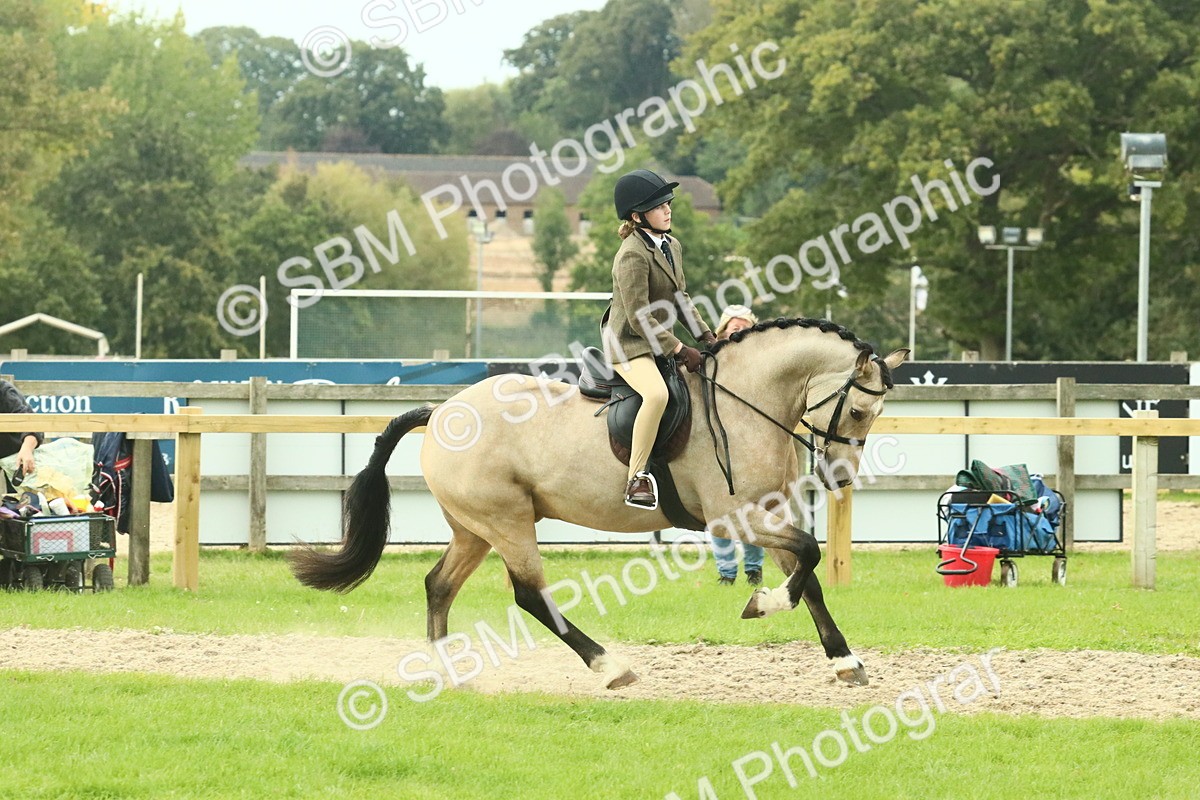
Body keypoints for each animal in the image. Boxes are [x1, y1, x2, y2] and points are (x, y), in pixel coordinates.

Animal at [290, 318, 908, 689]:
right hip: (506, 522)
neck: (747, 401)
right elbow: (808, 555)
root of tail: (441, 411)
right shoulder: (736, 519)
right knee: (530, 595)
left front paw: (844, 660)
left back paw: (451, 673)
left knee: (439, 586)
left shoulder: (769, 514)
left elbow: (809, 574)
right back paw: (610, 666)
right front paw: (762, 605)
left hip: (474, 529)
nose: (838, 476)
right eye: (858, 411)